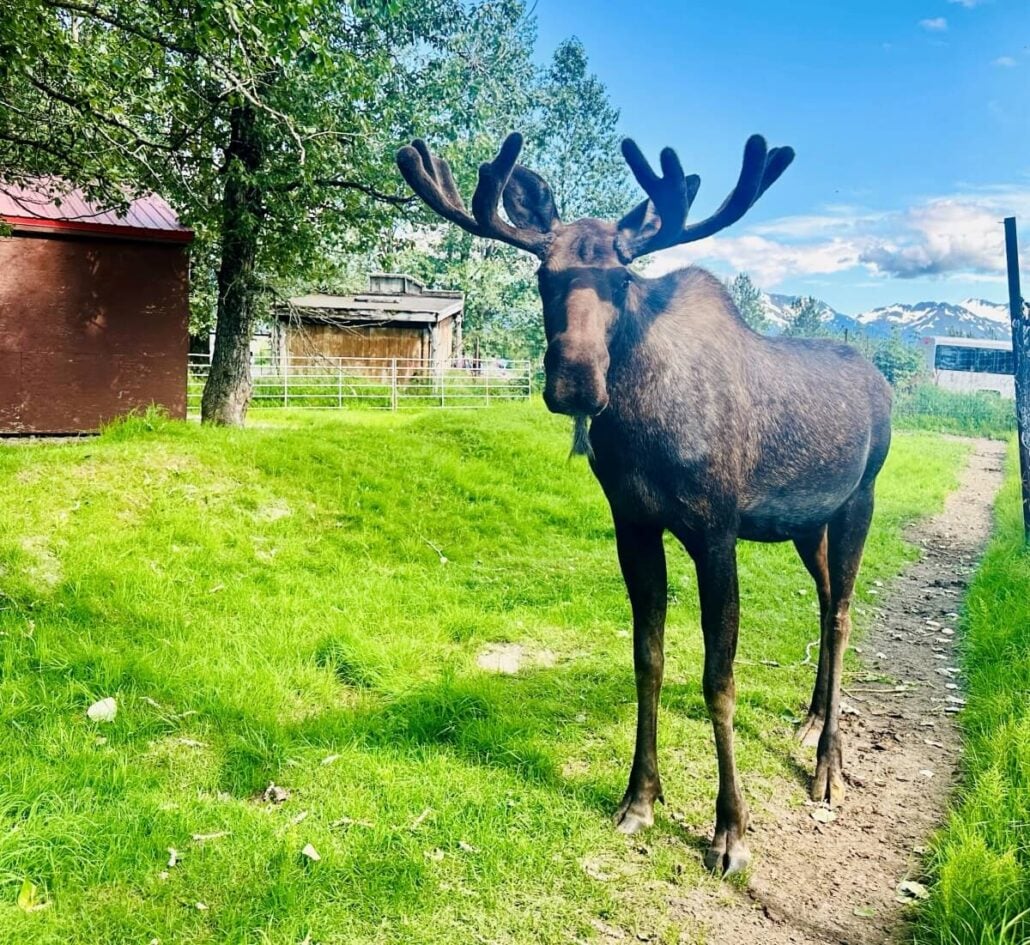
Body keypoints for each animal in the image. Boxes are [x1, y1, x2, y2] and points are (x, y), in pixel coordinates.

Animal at [397, 132, 892, 875]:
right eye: (543, 275)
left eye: (623, 279)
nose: (576, 379)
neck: (640, 427)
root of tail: (884, 382)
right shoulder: (633, 522)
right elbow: (648, 658)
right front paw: (640, 797)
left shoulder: (716, 528)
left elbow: (719, 677)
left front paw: (730, 829)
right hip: (807, 524)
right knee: (827, 596)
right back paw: (807, 721)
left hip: (859, 496)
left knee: (840, 613)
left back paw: (829, 763)